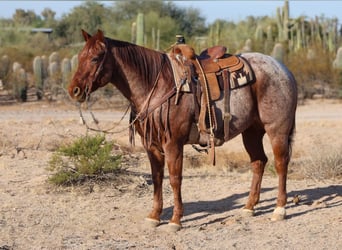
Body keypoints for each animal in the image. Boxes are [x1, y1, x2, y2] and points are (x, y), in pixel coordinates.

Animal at [67, 29, 296, 230]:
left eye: (96, 58)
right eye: (80, 56)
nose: (74, 90)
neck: (156, 84)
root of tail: (283, 68)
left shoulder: (173, 144)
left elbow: (175, 179)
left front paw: (175, 220)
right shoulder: (151, 145)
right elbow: (157, 178)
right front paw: (154, 216)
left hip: (277, 130)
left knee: (280, 163)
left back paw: (279, 209)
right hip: (251, 132)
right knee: (258, 162)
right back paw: (249, 207)